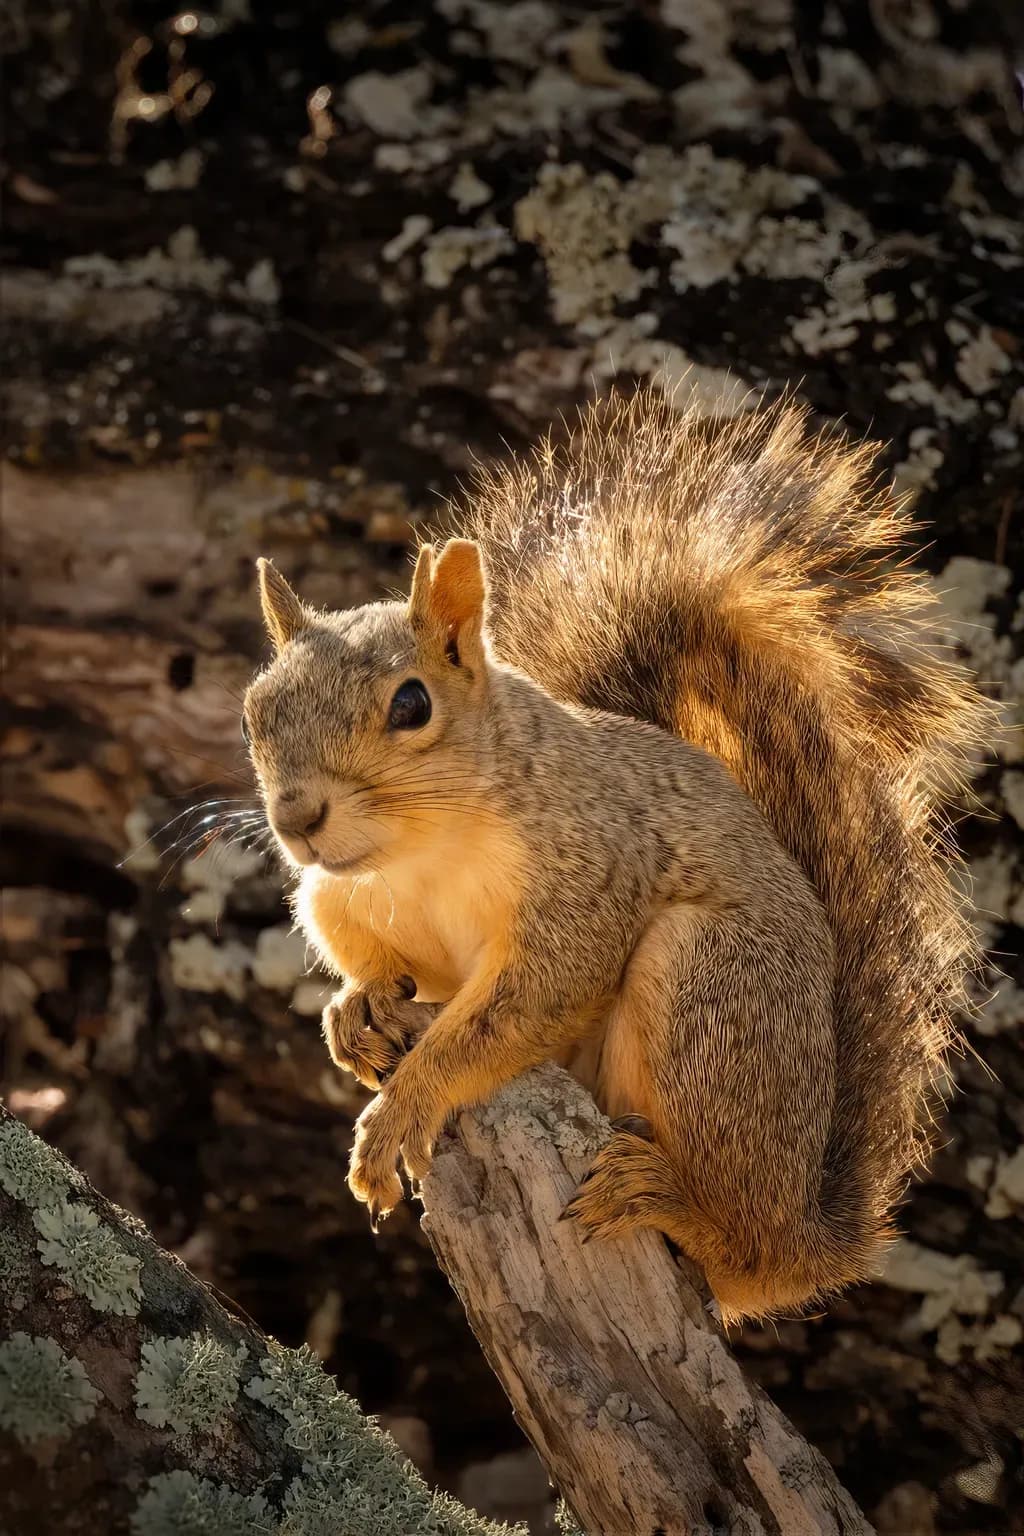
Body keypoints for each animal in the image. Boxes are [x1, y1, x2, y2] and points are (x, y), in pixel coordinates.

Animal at [242, 390, 985, 1323]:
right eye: (254, 708)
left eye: (411, 704)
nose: (297, 818)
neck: (413, 855)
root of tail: (807, 1236)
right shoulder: (337, 895)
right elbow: (383, 965)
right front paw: (356, 1010)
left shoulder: (587, 880)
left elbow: (511, 1012)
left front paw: (401, 1109)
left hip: (712, 995)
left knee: (735, 1237)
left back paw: (671, 1201)